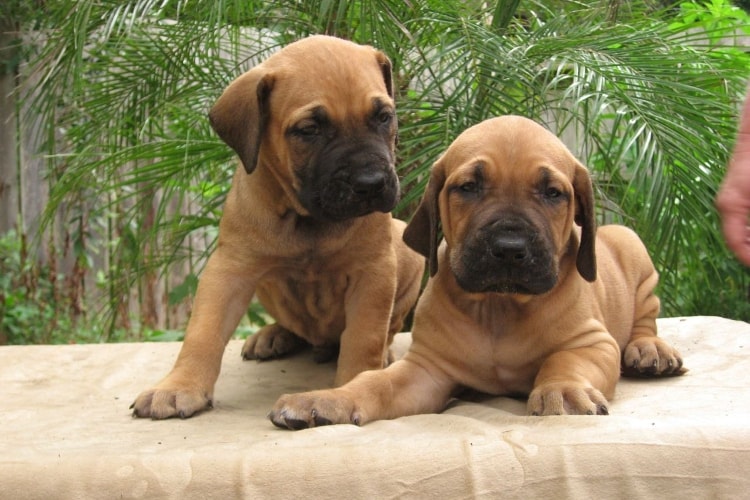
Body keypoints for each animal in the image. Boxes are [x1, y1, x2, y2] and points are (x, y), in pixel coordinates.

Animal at [132, 34, 426, 418]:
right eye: (309, 130)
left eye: (383, 117)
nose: (371, 182)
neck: (308, 219)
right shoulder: (229, 269)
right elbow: (203, 331)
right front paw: (179, 386)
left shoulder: (374, 272)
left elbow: (365, 337)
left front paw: (349, 388)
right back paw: (274, 335)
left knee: (385, 331)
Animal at [268, 114, 688, 430]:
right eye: (468, 187)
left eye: (553, 193)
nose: (509, 248)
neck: (498, 308)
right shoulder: (426, 369)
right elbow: (373, 383)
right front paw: (325, 400)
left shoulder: (592, 342)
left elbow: (566, 361)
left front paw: (564, 390)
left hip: (633, 250)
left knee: (645, 318)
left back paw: (649, 350)